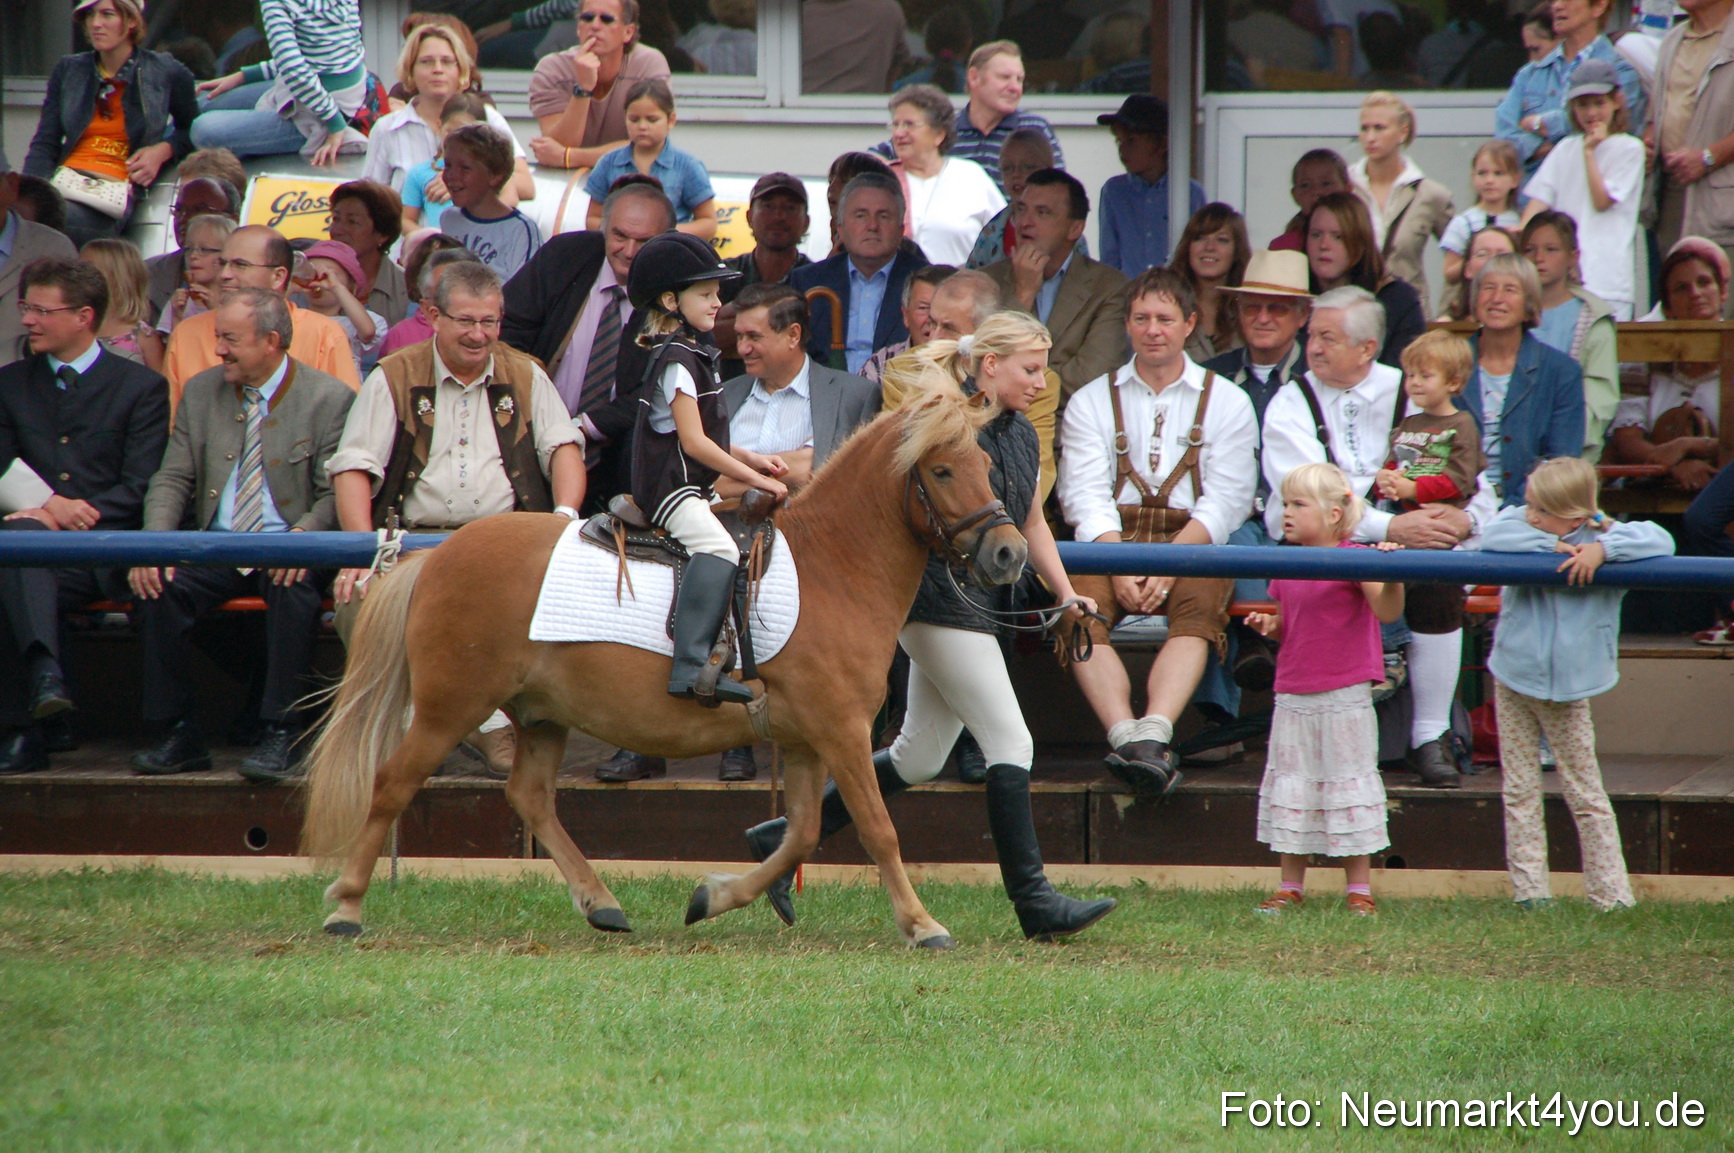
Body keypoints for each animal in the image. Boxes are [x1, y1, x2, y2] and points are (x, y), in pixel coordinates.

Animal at [301, 384, 1028, 948]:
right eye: (941, 471)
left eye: (985, 465)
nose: (1009, 554)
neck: (834, 568)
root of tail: (434, 557)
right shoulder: (841, 731)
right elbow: (878, 829)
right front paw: (922, 923)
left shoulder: (803, 739)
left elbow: (802, 834)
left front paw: (714, 896)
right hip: (451, 706)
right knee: (392, 784)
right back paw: (345, 907)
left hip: (543, 714)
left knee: (530, 797)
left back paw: (602, 903)